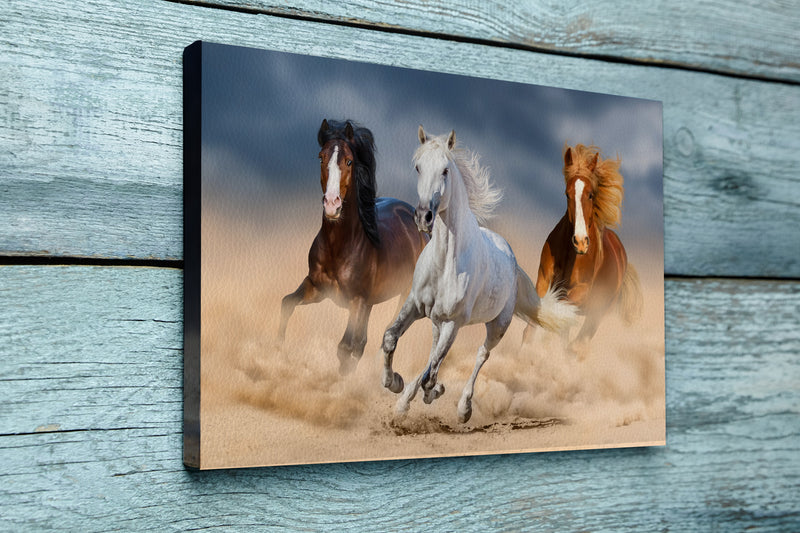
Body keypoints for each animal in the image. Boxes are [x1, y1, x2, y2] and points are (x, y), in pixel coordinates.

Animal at [282, 118, 432, 372]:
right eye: (321, 157)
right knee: (362, 342)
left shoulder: (357, 301)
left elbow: (345, 347)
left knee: (385, 334)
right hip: (370, 303)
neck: (340, 246)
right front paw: (276, 348)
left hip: (403, 295)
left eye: (349, 161)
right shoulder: (316, 287)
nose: (332, 204)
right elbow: (287, 304)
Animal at [378, 127, 580, 422]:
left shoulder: (454, 322)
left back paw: (463, 408)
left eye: (445, 170)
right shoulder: (415, 304)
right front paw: (394, 383)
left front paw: (431, 392)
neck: (445, 263)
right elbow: (391, 339)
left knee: (480, 355)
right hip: (437, 321)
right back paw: (406, 400)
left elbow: (433, 372)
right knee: (433, 354)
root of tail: (512, 260)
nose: (423, 217)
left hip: (496, 325)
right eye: (418, 167)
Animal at [524, 143, 644, 356]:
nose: (580, 242)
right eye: (567, 194)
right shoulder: (544, 280)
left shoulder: (581, 292)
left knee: (578, 342)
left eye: (590, 194)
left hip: (597, 313)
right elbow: (535, 320)